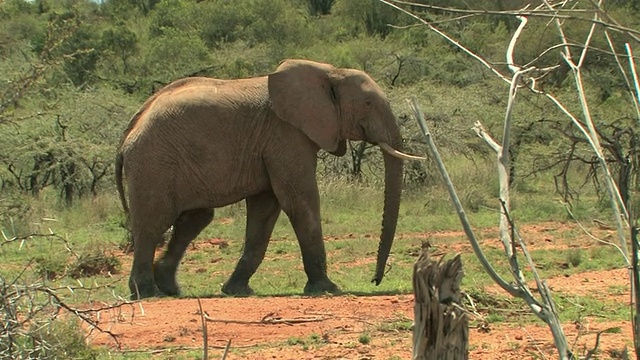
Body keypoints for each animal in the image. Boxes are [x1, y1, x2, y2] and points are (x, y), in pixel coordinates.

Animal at [117, 59, 422, 300]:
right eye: (368, 104)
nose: (375, 280)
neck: (329, 71)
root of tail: (127, 132)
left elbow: (265, 210)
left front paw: (237, 291)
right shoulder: (285, 134)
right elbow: (300, 201)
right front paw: (328, 289)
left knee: (195, 219)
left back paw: (170, 289)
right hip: (153, 164)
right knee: (153, 223)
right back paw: (147, 293)